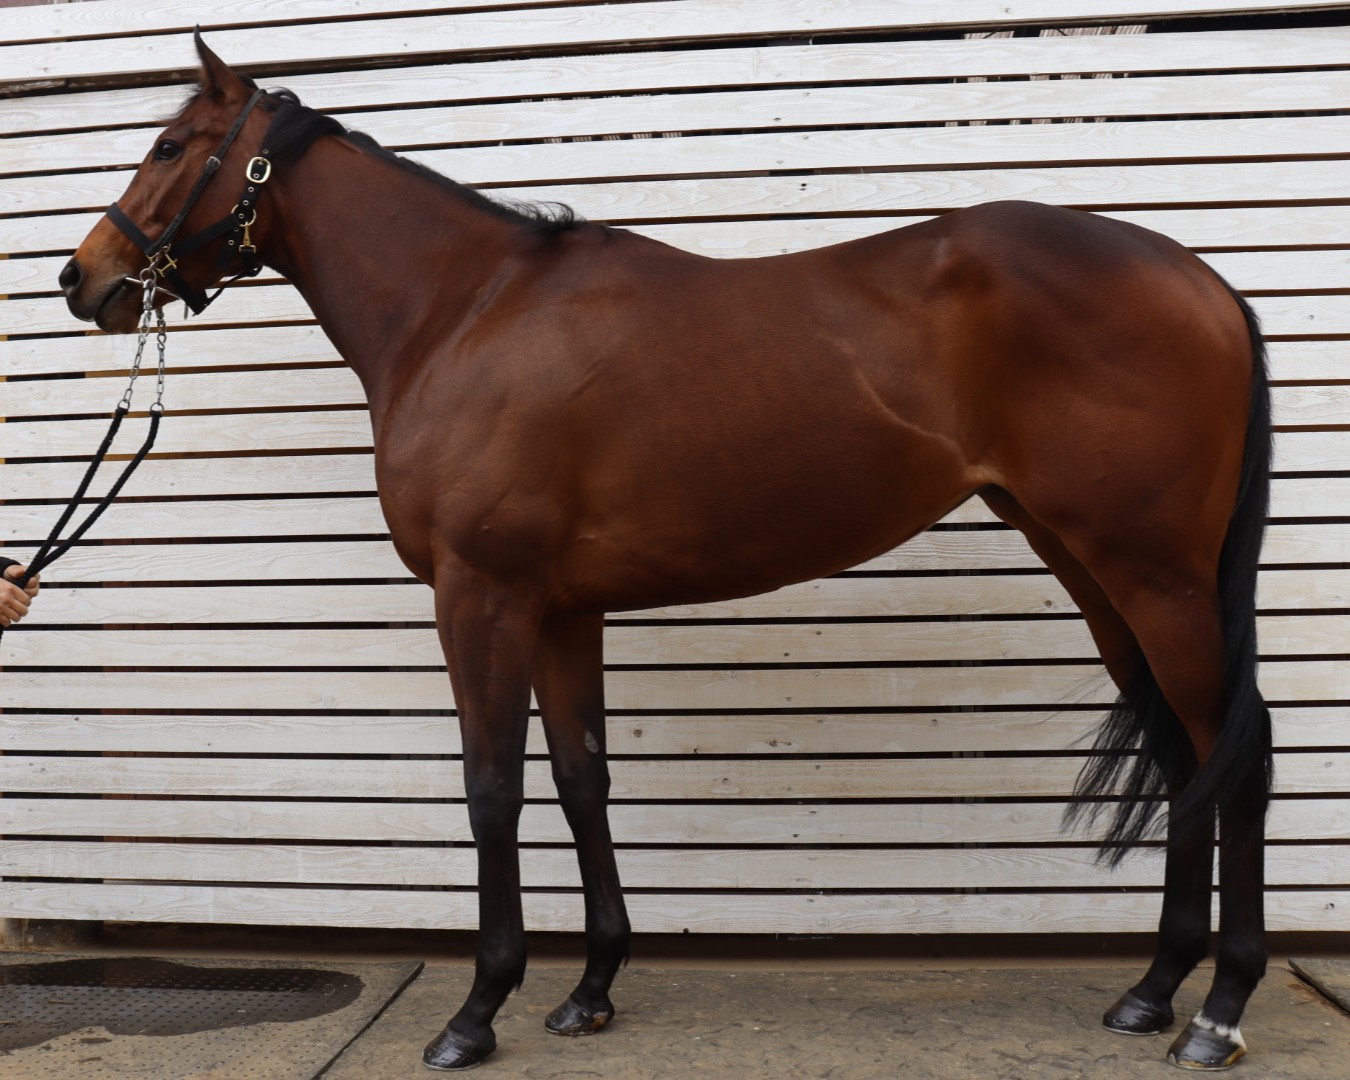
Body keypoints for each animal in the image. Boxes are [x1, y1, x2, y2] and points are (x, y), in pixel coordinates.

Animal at [60, 36, 1272, 1073]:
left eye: (169, 146)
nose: (84, 279)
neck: (464, 314)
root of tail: (1203, 280)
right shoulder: (561, 607)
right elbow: (581, 778)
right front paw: (590, 987)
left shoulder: (482, 597)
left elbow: (492, 788)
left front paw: (477, 1009)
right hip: (1094, 567)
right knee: (1184, 757)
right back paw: (1152, 990)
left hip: (1152, 573)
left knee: (1240, 753)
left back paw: (1217, 1013)